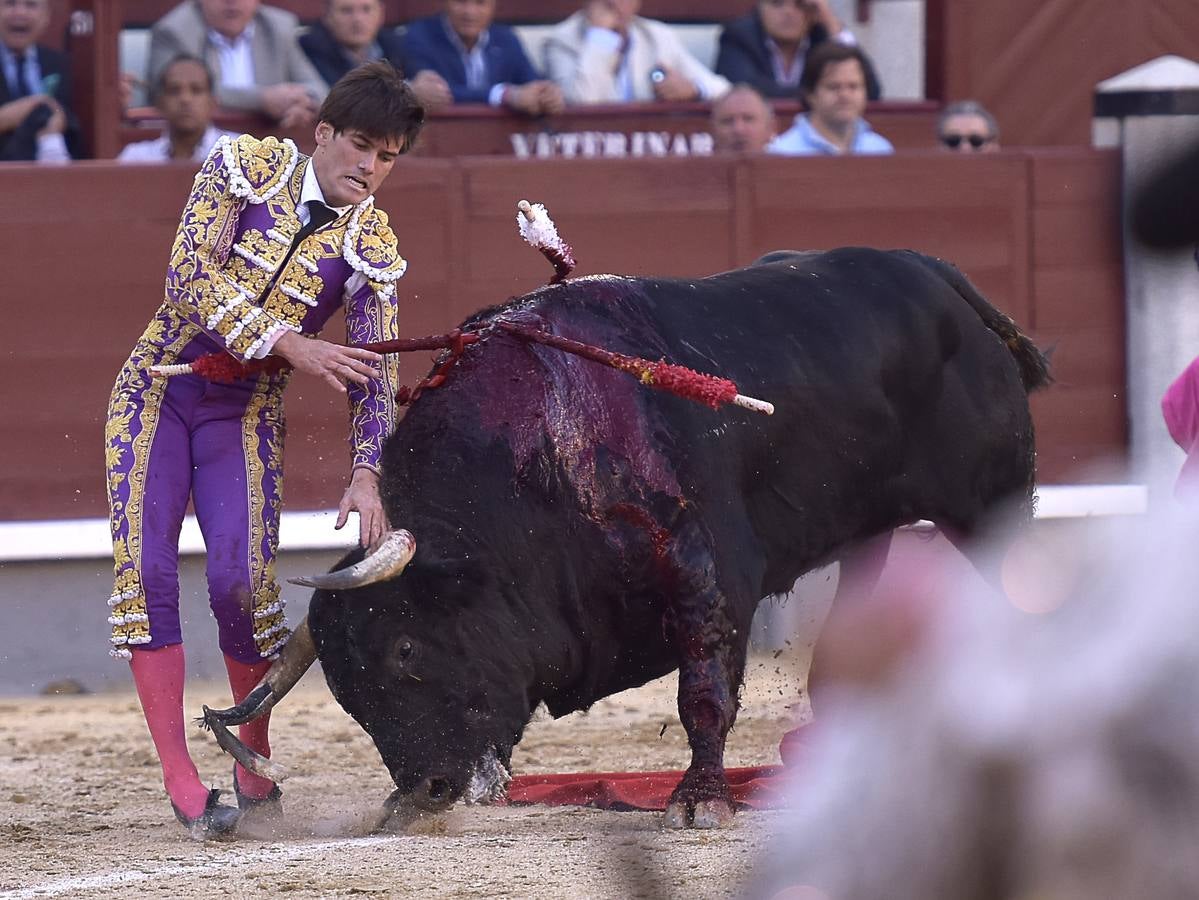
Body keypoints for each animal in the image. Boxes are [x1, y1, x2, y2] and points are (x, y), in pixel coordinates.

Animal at [206, 246, 1050, 829]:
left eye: (406, 649)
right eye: (347, 695)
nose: (427, 791)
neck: (537, 456)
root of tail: (932, 273)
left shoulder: (706, 574)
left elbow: (703, 693)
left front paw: (699, 801)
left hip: (990, 508)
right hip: (863, 526)